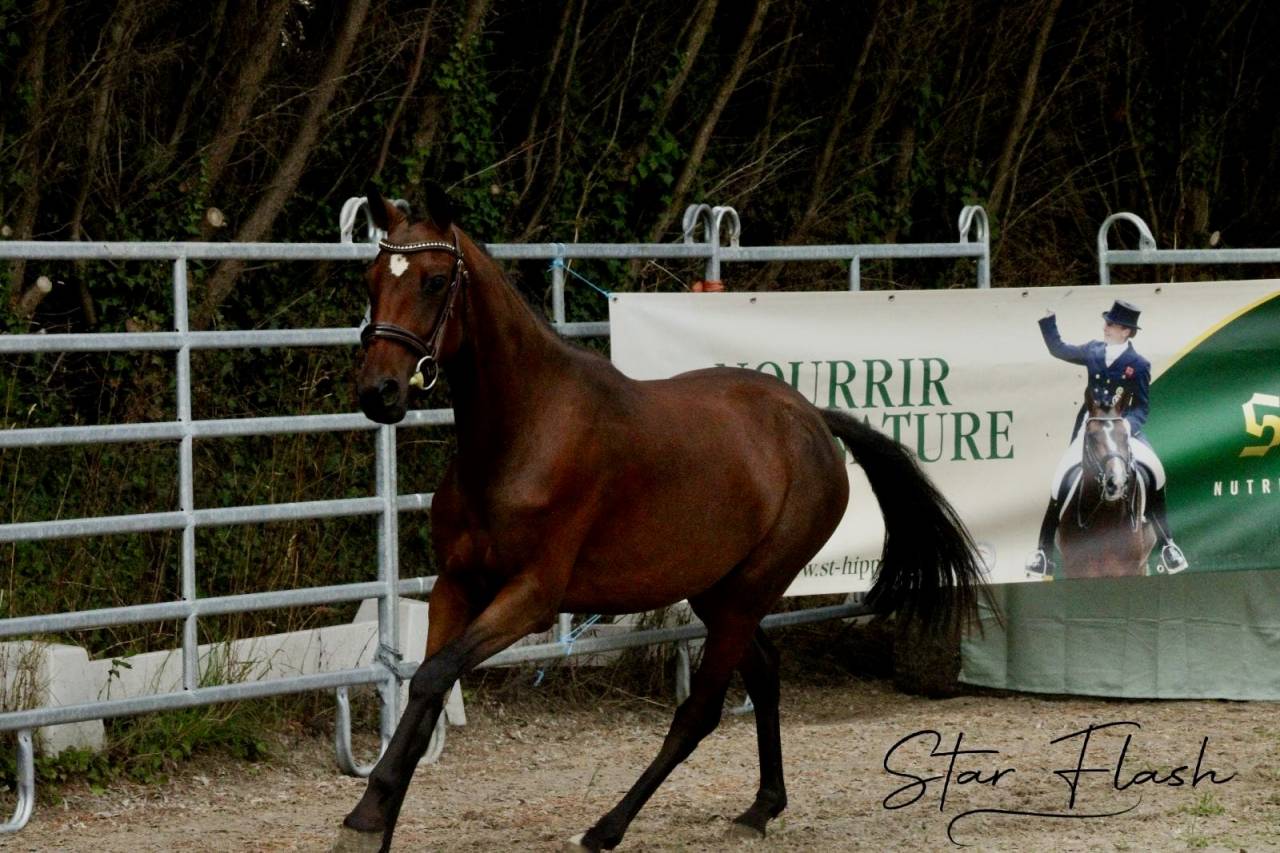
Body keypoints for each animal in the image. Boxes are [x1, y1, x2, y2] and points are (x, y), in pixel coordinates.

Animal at [334, 181, 988, 852]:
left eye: (436, 281)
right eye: (369, 277)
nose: (379, 392)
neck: (524, 432)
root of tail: (810, 418)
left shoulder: (530, 598)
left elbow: (433, 677)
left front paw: (365, 822)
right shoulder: (456, 585)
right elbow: (427, 685)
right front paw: (376, 821)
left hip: (750, 590)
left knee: (700, 711)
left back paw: (607, 827)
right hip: (718, 592)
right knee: (764, 672)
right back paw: (762, 807)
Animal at [1056, 390, 1157, 578]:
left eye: (1125, 436)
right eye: (1092, 436)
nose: (1116, 483)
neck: (1106, 518)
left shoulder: (1131, 569)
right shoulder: (1076, 570)